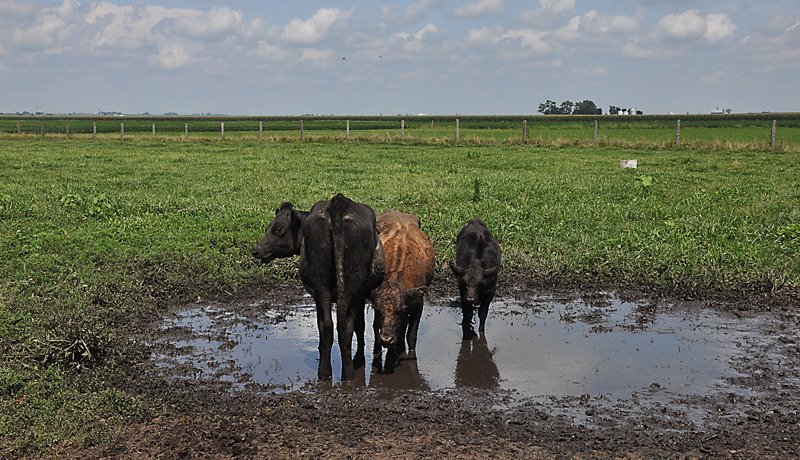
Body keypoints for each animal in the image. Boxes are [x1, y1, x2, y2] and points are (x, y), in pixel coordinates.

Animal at [251, 193, 385, 380]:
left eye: (277, 228)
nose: (256, 250)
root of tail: (338, 202)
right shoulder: (359, 294)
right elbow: (359, 325)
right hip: (344, 286)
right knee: (341, 326)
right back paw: (342, 374)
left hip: (324, 287)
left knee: (331, 326)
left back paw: (330, 373)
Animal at [370, 209, 435, 371]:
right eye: (378, 309)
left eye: (399, 310)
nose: (386, 339)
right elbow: (375, 328)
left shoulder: (418, 303)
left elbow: (411, 334)